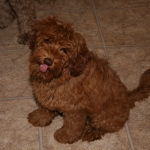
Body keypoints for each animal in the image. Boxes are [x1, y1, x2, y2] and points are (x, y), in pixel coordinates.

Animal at [27, 16, 150, 144]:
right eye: (47, 41)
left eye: (64, 50)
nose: (48, 61)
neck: (63, 73)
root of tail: (127, 96)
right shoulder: (48, 96)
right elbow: (45, 109)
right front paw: (39, 118)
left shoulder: (75, 108)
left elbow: (73, 125)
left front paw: (66, 136)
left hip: (101, 116)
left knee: (106, 127)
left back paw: (91, 132)